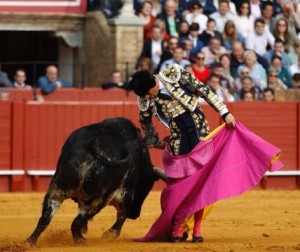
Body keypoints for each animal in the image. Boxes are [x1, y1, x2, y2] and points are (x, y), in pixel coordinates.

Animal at [26, 117, 165, 245]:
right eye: (147, 187)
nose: (135, 214)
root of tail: (93, 148)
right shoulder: (126, 193)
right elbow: (122, 215)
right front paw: (110, 235)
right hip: (97, 201)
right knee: (76, 222)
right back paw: (81, 240)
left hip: (56, 192)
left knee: (44, 219)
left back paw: (30, 242)